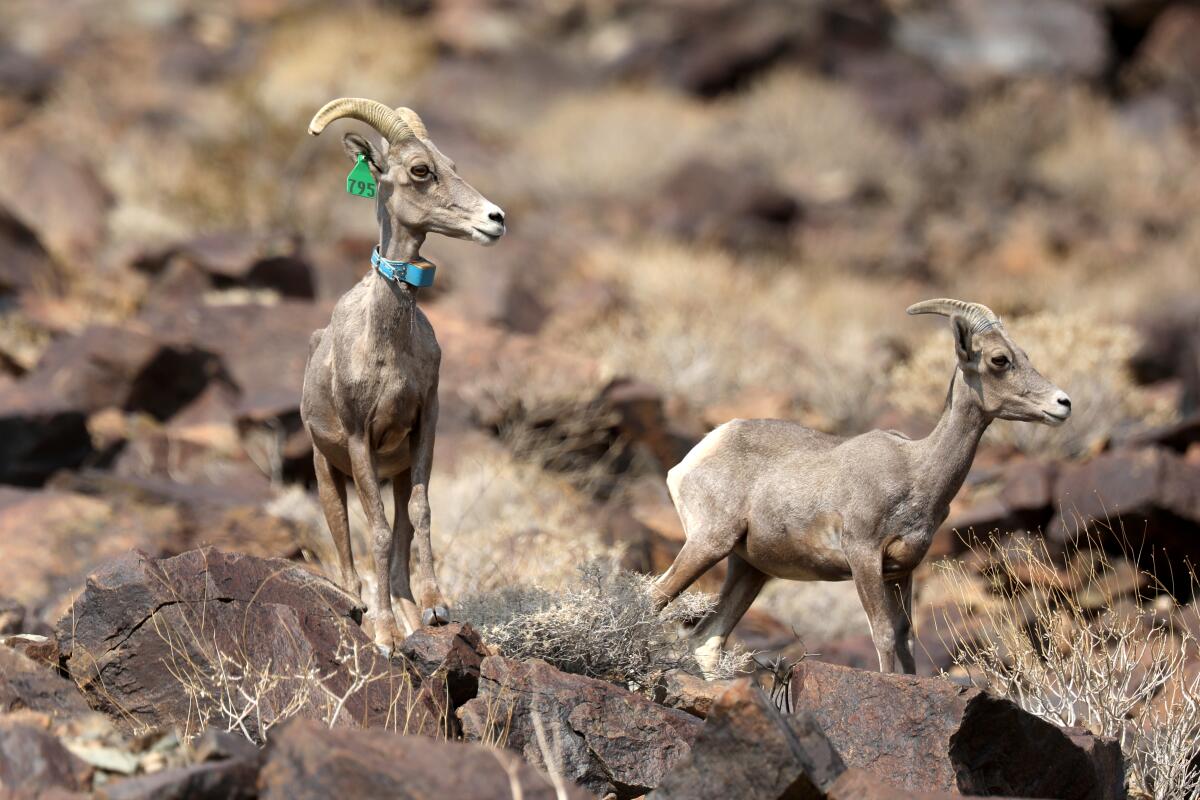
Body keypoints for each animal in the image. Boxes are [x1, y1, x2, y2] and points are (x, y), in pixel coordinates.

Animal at [301, 98, 506, 654]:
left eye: (452, 165)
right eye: (420, 171)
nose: (495, 219)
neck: (388, 349)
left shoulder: (423, 425)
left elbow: (418, 515)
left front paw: (435, 609)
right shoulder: (358, 440)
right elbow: (373, 530)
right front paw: (387, 635)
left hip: (392, 469)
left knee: (399, 540)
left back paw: (411, 613)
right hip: (327, 472)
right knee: (347, 547)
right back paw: (363, 610)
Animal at [652, 299, 1072, 675]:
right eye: (999, 360)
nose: (1063, 403)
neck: (916, 470)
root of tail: (701, 451)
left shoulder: (901, 572)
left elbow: (905, 639)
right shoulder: (864, 557)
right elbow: (883, 635)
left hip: (748, 569)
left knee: (707, 641)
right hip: (709, 544)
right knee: (654, 598)